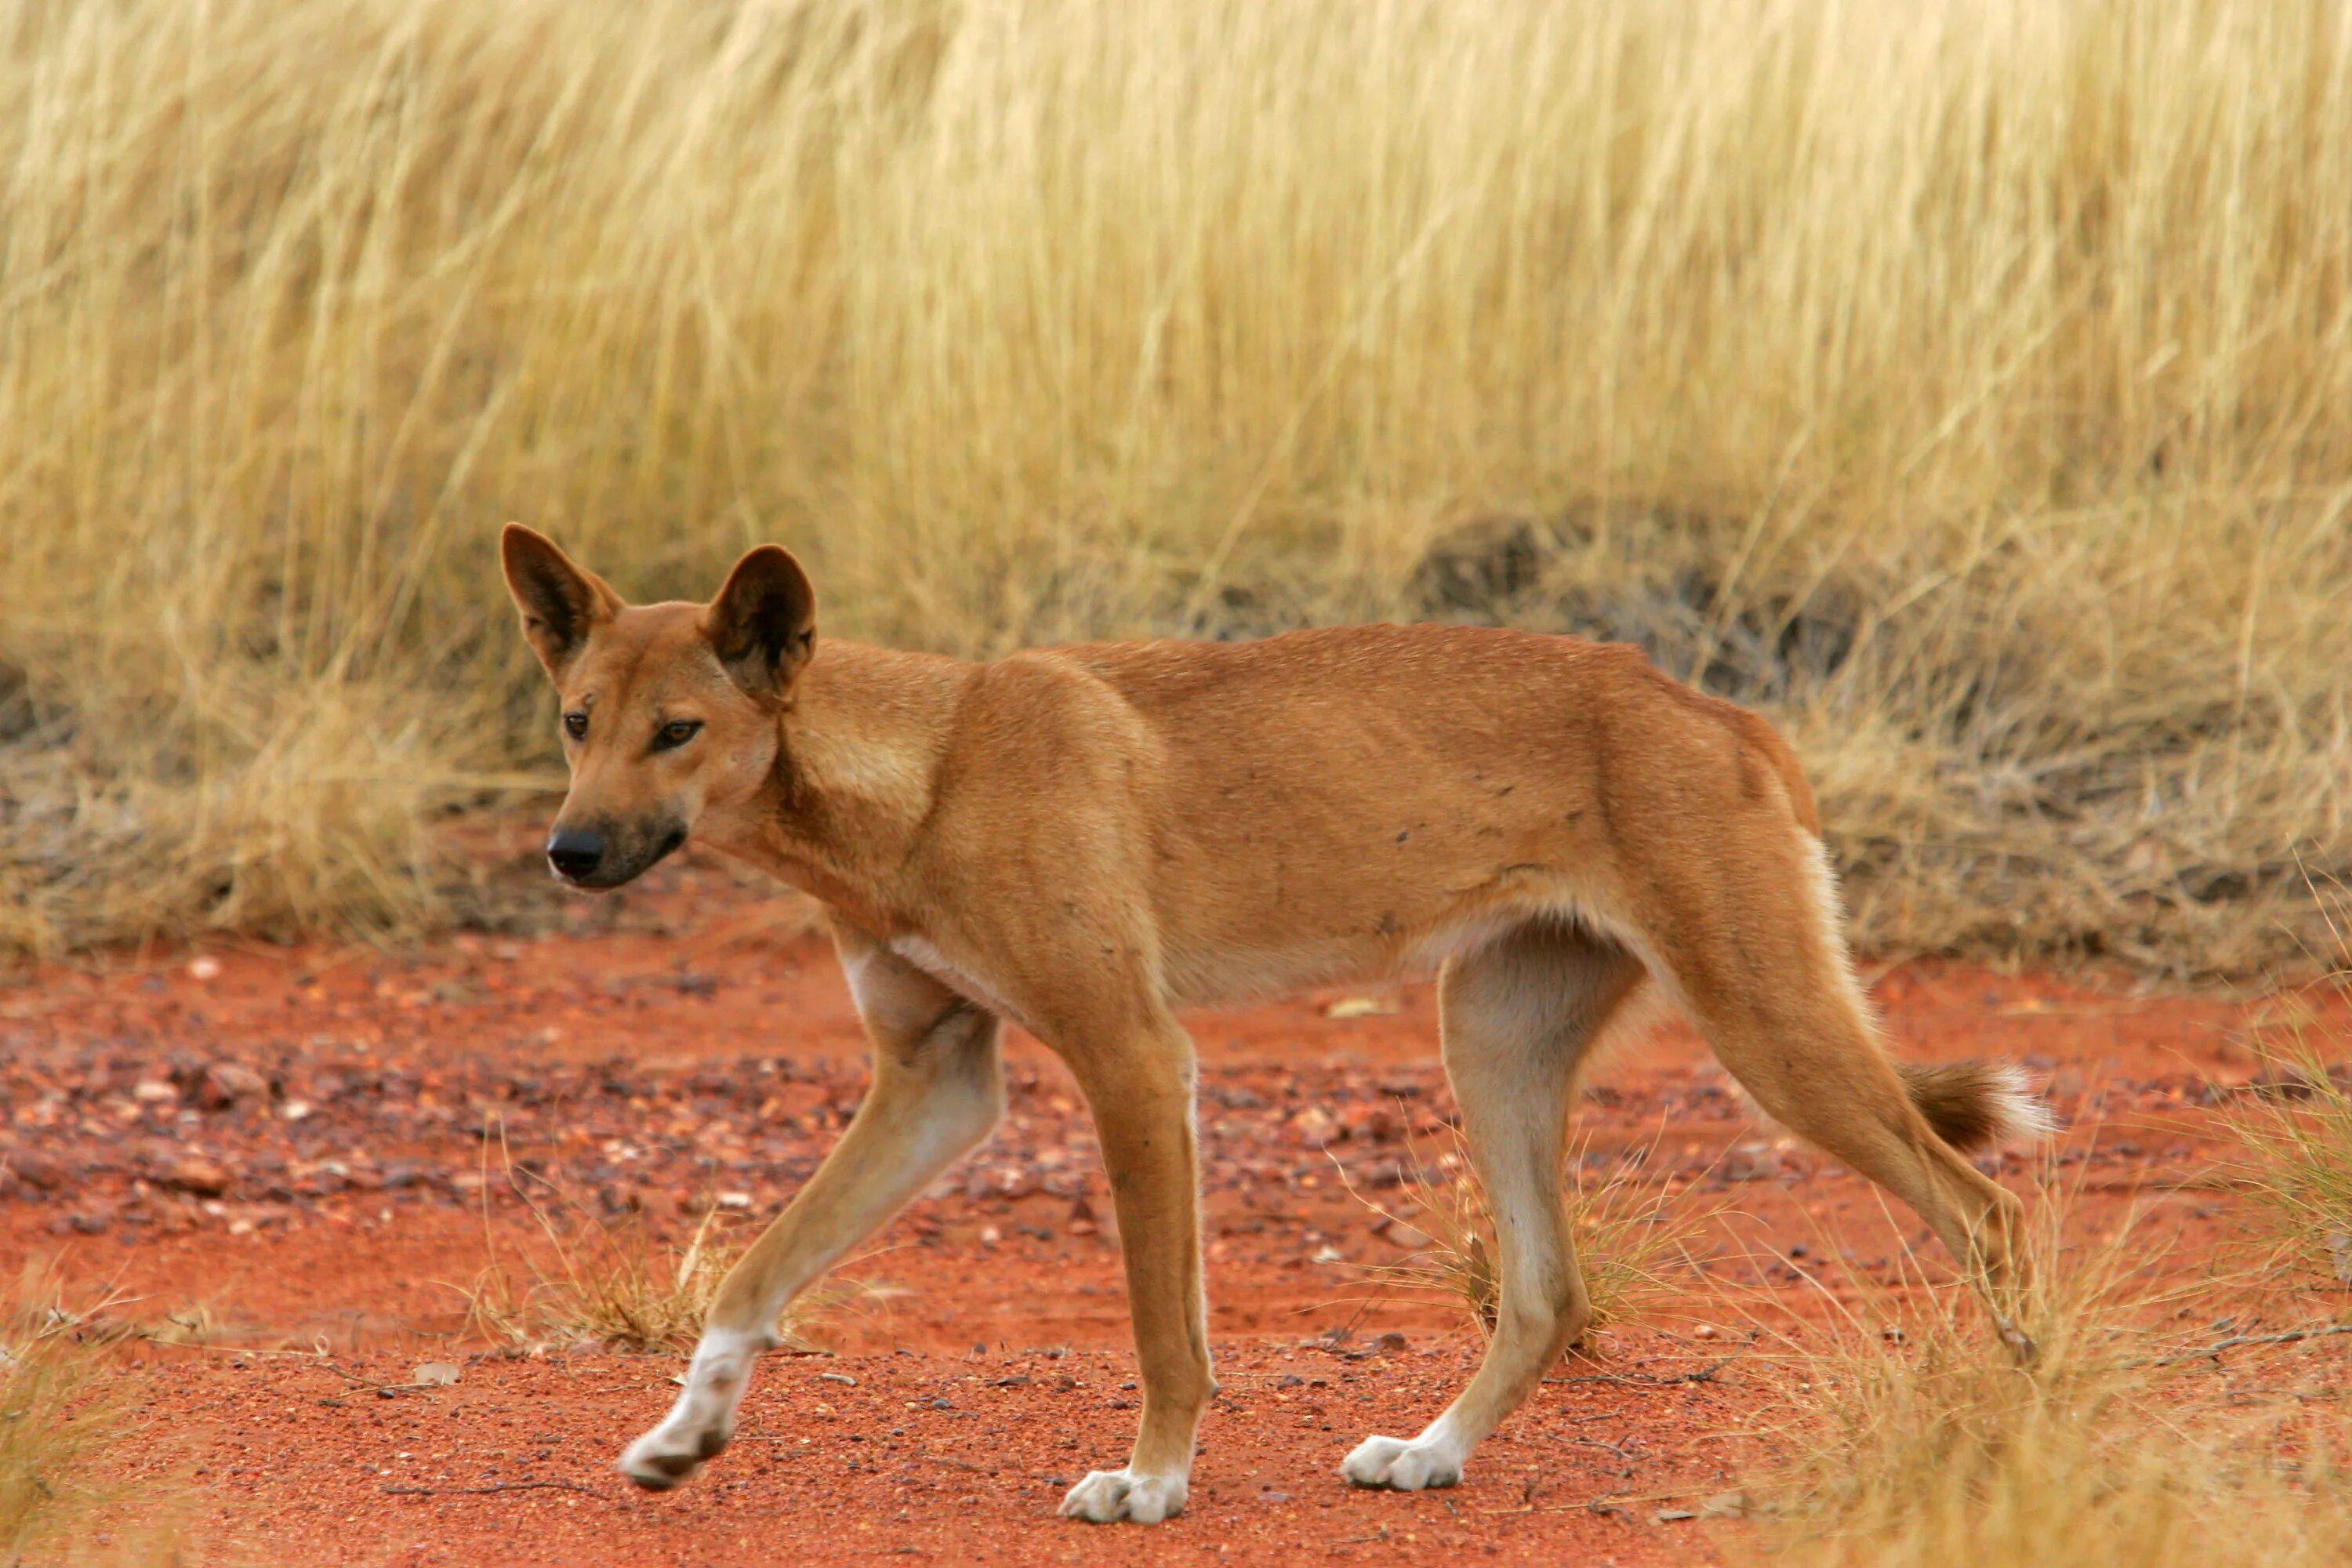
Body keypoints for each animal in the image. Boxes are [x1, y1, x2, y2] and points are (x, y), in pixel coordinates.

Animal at [506, 524, 2051, 1523]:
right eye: (577, 721)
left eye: (678, 733)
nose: (569, 854)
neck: (927, 777)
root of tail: (1719, 707)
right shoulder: (937, 1080)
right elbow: (754, 1273)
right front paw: (684, 1431)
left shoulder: (1134, 1057)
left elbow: (1162, 1325)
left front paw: (1151, 1481)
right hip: (1490, 1041)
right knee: (1549, 1294)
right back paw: (1431, 1457)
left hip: (1768, 1033)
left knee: (1986, 1210)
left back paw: (2018, 1427)